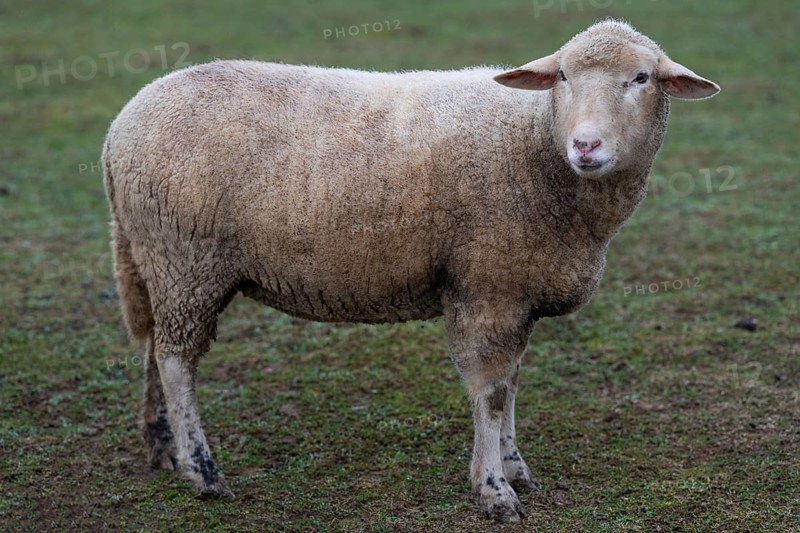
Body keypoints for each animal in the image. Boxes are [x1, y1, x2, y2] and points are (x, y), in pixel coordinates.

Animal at [102, 19, 719, 522]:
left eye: (641, 78)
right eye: (562, 75)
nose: (586, 145)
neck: (537, 141)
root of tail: (122, 125)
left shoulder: (514, 290)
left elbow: (512, 384)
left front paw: (514, 467)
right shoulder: (486, 288)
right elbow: (492, 392)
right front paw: (494, 489)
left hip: (161, 265)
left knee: (155, 349)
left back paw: (163, 449)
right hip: (186, 260)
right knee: (178, 363)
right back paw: (202, 471)